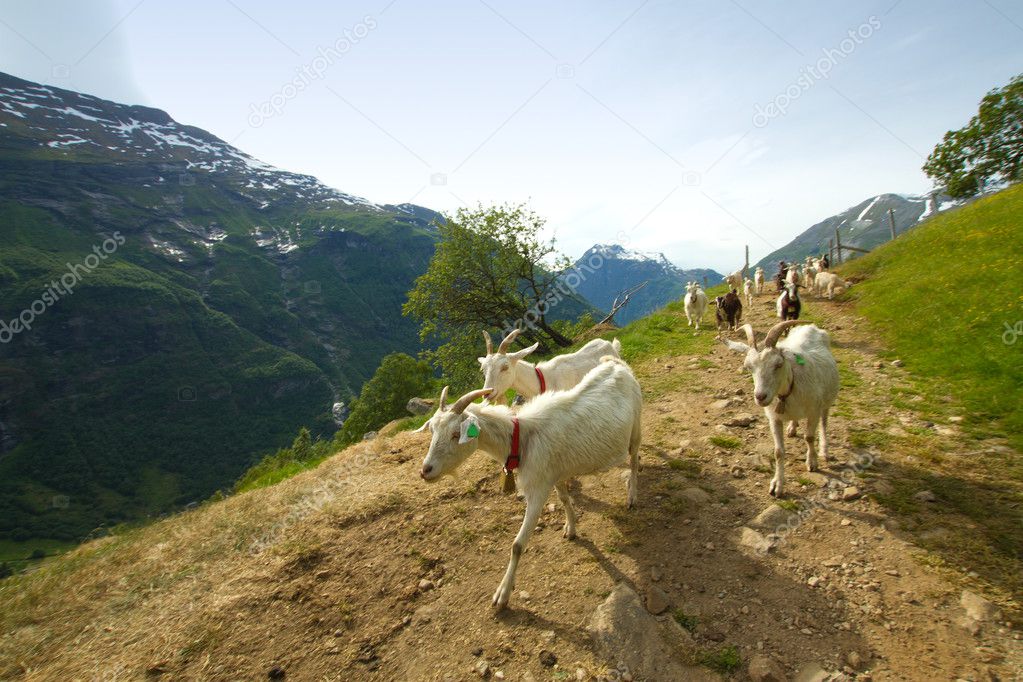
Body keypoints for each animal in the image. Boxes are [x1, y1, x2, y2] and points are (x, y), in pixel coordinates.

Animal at [415, 355, 638, 609]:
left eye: (455, 434)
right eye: (432, 430)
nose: (425, 470)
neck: (520, 438)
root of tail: (615, 362)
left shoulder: (538, 490)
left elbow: (517, 545)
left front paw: (503, 594)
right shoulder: (554, 474)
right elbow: (564, 499)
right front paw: (571, 528)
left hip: (636, 428)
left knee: (634, 459)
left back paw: (632, 496)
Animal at [720, 323, 838, 498]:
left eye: (778, 364)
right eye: (748, 367)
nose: (760, 396)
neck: (789, 388)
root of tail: (810, 326)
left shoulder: (814, 410)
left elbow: (809, 437)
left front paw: (812, 462)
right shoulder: (774, 418)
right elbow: (778, 452)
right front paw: (777, 485)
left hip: (827, 399)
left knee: (824, 422)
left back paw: (824, 451)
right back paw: (792, 428)